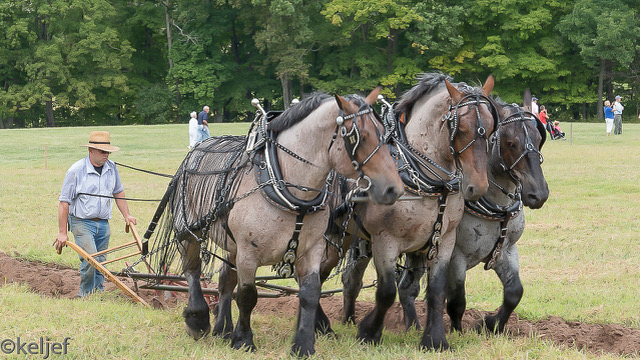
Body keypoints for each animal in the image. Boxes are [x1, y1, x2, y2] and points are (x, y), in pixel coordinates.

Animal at [318, 71, 496, 350]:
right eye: (461, 129)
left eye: (489, 128)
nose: (476, 187)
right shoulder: (385, 240)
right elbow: (386, 292)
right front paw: (369, 332)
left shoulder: (444, 240)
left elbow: (436, 291)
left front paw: (435, 339)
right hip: (335, 236)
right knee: (319, 274)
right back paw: (322, 326)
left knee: (350, 280)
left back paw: (346, 320)